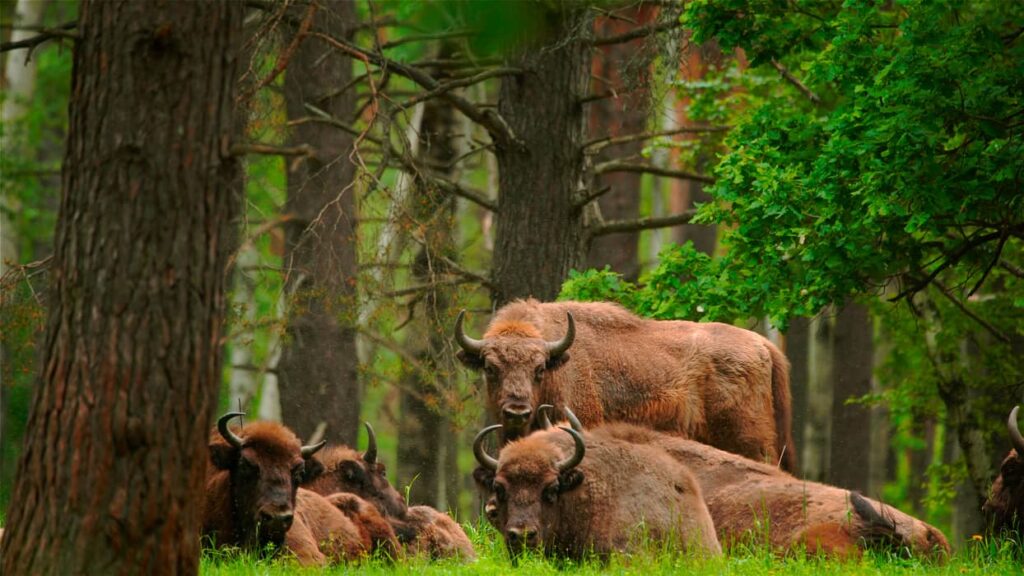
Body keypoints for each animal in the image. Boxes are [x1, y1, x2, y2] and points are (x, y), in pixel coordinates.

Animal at [456, 299, 797, 472]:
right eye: (490, 367)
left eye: (539, 368)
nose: (517, 411)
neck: (559, 362)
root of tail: (764, 345)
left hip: (749, 439)